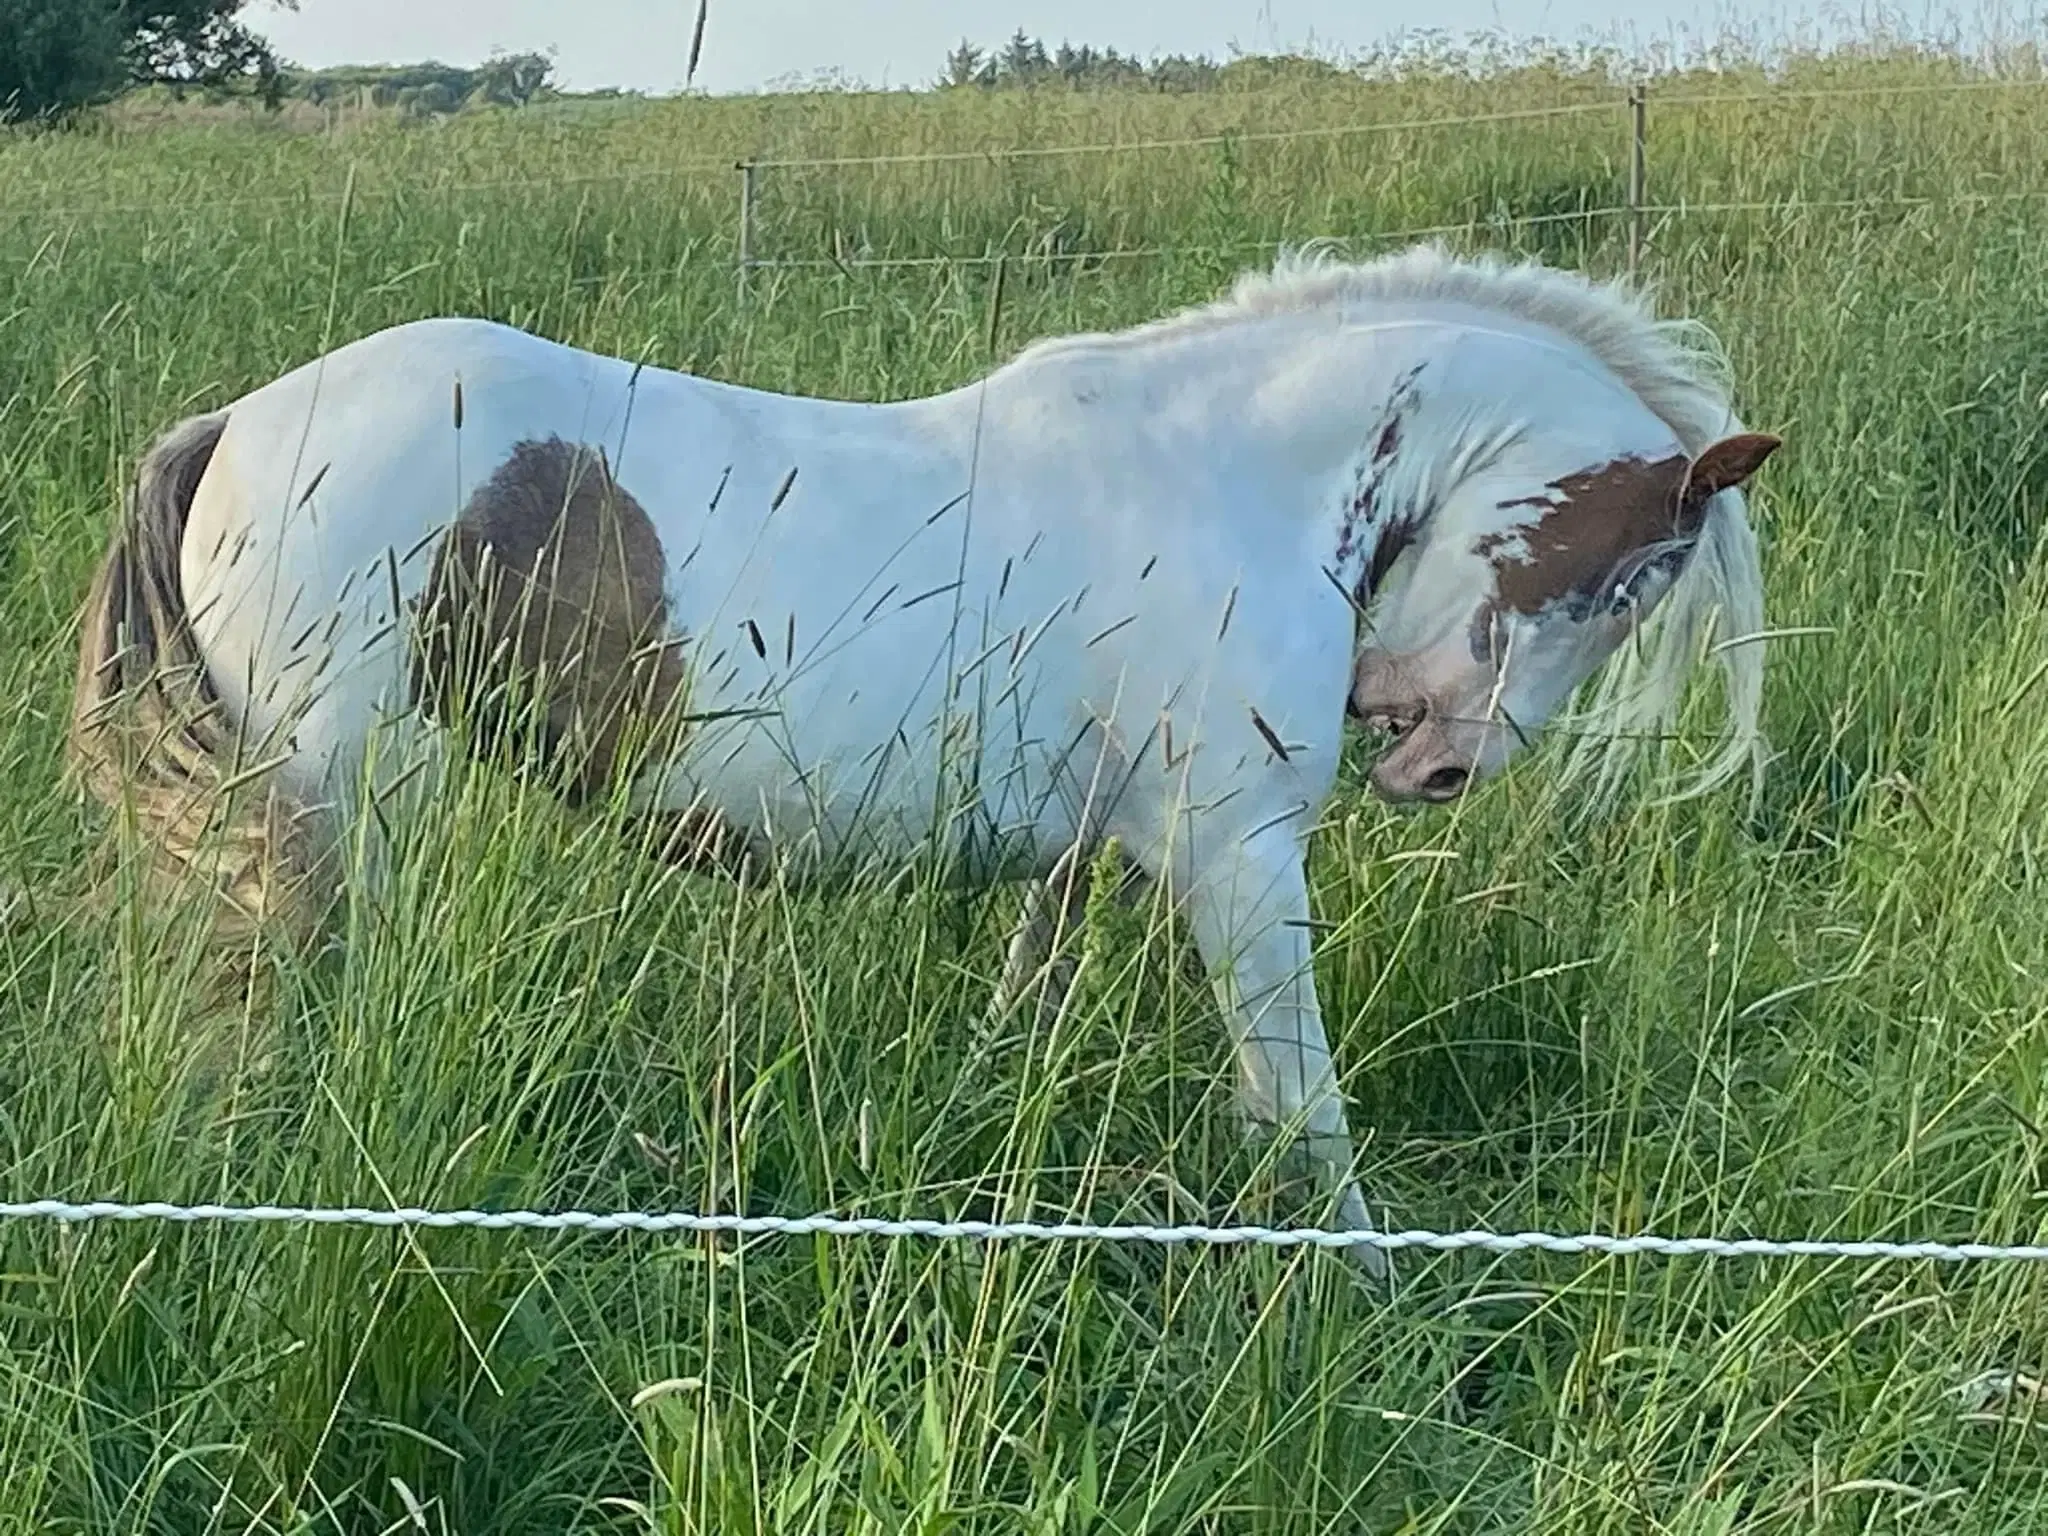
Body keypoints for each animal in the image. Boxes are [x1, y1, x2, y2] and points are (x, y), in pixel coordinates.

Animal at [68, 243, 1777, 1277]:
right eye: (1629, 579)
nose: (1435, 765)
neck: (1227, 475)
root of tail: (237, 424)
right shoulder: (1237, 860)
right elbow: (1302, 1105)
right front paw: (1366, 1284)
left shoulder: (1093, 857)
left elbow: (1035, 1011)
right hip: (344, 808)